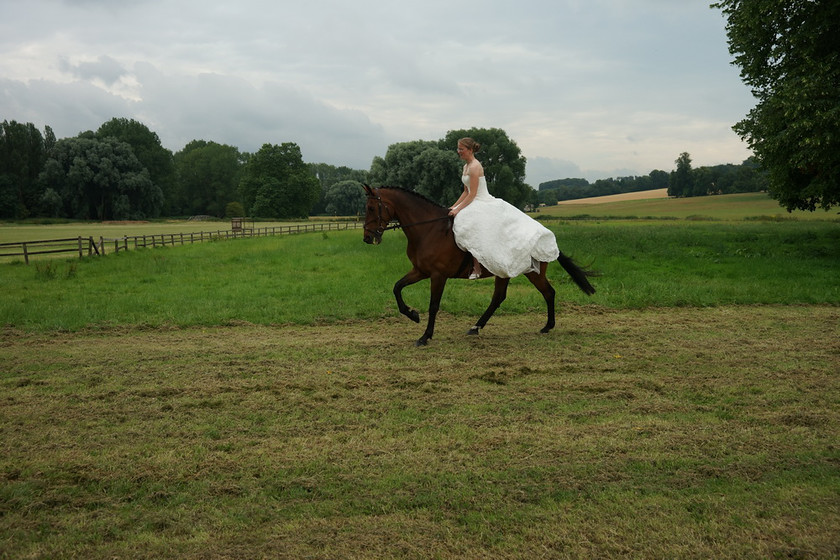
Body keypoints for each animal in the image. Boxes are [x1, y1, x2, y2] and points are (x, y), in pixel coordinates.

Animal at [362, 186, 596, 348]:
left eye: (371, 208)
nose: (367, 238)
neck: (429, 229)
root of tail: (545, 235)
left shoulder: (438, 275)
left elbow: (434, 305)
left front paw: (425, 336)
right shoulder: (420, 271)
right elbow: (397, 288)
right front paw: (412, 314)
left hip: (533, 273)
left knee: (548, 293)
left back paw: (547, 326)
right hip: (504, 273)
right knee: (499, 298)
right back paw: (476, 327)